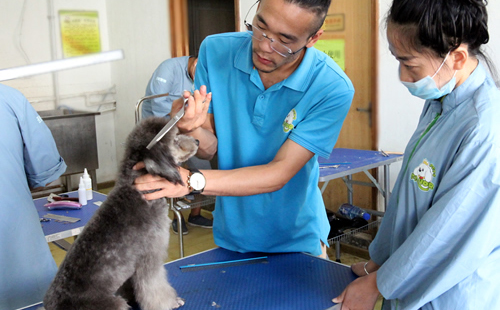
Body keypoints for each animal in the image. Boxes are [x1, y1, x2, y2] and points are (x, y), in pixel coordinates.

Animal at [43, 117, 197, 310]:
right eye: (175, 138)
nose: (197, 141)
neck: (139, 193)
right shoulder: (150, 257)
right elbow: (155, 288)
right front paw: (169, 303)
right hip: (114, 304)